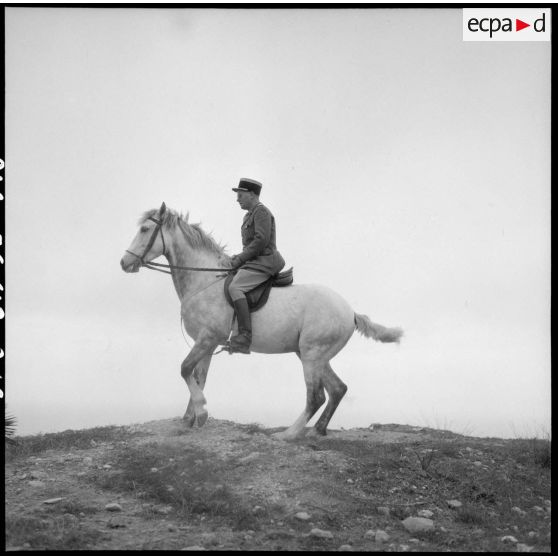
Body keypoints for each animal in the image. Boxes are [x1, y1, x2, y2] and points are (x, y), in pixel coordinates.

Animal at [121, 205, 402, 442]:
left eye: (144, 229)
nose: (124, 263)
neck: (204, 281)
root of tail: (350, 310)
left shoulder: (207, 339)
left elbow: (184, 369)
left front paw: (200, 413)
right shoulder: (207, 344)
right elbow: (198, 377)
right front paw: (191, 419)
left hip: (312, 355)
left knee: (316, 396)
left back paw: (289, 434)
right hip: (313, 355)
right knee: (338, 389)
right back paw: (317, 430)